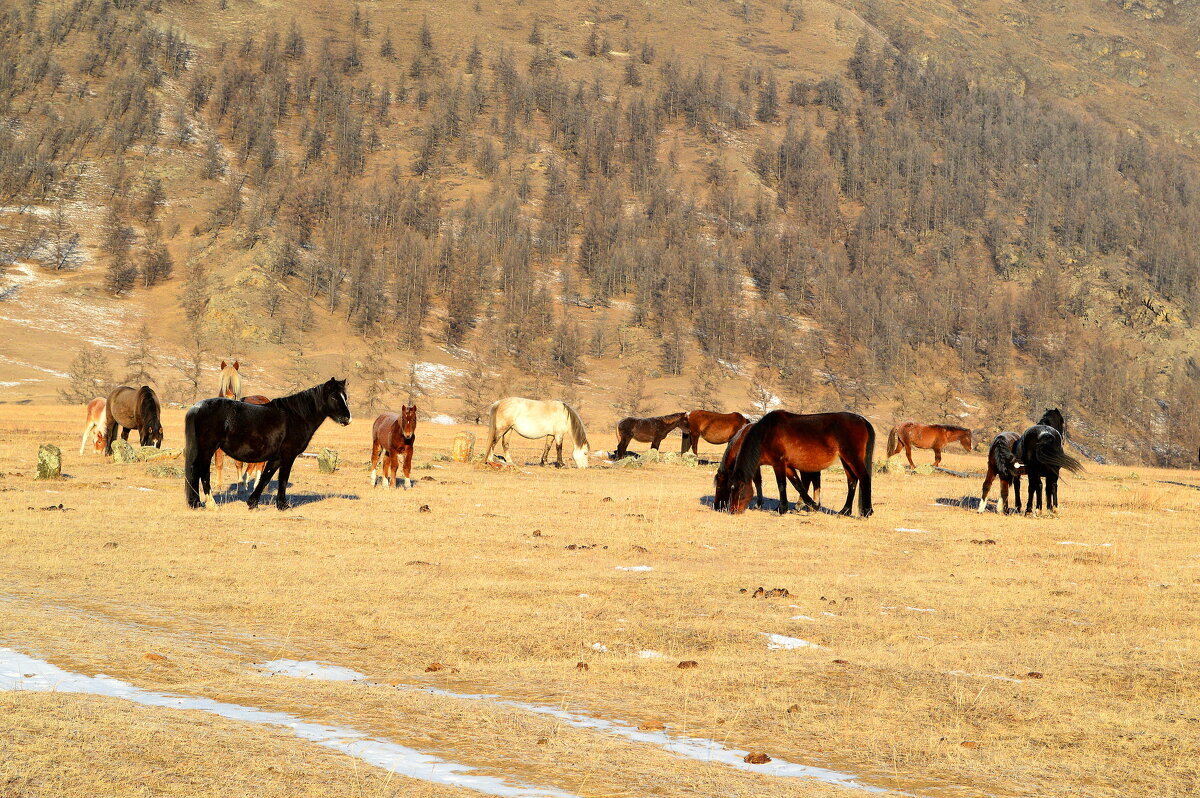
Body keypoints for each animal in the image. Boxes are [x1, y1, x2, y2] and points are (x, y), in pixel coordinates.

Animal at [183, 374, 350, 511]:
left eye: (345, 397)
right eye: (334, 397)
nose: (347, 419)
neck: (296, 417)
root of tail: (196, 408)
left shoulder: (276, 457)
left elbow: (265, 477)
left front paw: (252, 503)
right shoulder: (288, 455)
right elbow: (283, 478)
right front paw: (283, 505)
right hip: (207, 449)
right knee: (200, 471)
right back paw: (207, 504)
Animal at [720, 410, 873, 516]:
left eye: (740, 490)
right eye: (729, 488)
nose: (732, 511)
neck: (765, 434)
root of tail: (862, 420)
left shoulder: (778, 464)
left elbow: (782, 485)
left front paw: (782, 509)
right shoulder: (787, 466)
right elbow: (798, 485)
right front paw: (811, 505)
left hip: (852, 458)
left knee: (864, 478)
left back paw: (866, 511)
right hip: (846, 460)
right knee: (852, 481)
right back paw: (845, 511)